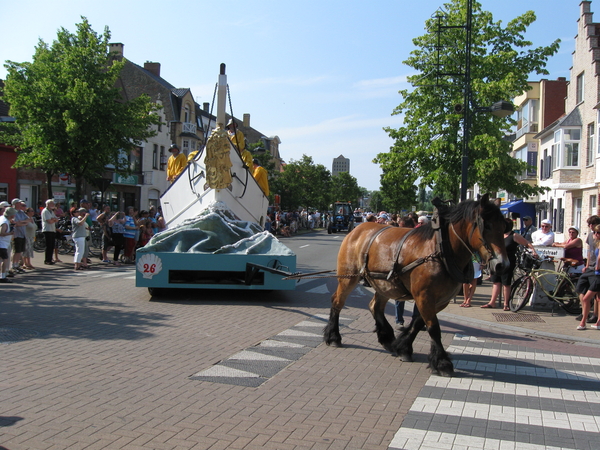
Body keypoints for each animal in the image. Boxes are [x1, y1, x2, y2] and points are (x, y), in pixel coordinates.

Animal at [322, 193, 508, 376]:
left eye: (505, 226)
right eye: (487, 226)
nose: (502, 265)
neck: (440, 250)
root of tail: (357, 229)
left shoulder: (440, 300)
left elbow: (419, 322)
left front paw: (403, 347)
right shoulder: (424, 296)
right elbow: (433, 328)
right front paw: (442, 363)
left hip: (385, 284)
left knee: (375, 306)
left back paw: (387, 338)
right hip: (348, 278)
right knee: (337, 302)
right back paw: (333, 337)